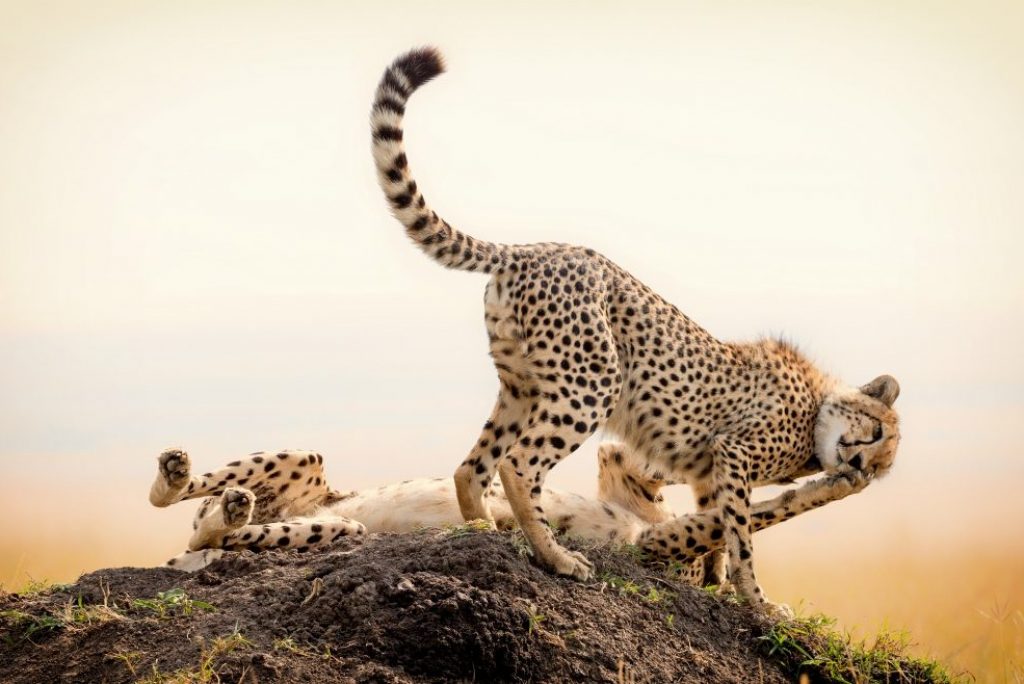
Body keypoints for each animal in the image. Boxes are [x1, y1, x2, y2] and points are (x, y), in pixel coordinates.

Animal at [369, 47, 901, 613]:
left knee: (474, 466)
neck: (816, 415)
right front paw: (756, 601)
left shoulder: (709, 472)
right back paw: (557, 558)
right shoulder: (733, 453)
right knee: (518, 464)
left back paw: (484, 531)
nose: (858, 466)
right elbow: (740, 536)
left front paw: (718, 581)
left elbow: (718, 530)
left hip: (522, 384)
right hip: (594, 382)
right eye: (875, 433)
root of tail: (530, 250)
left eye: (879, 470)